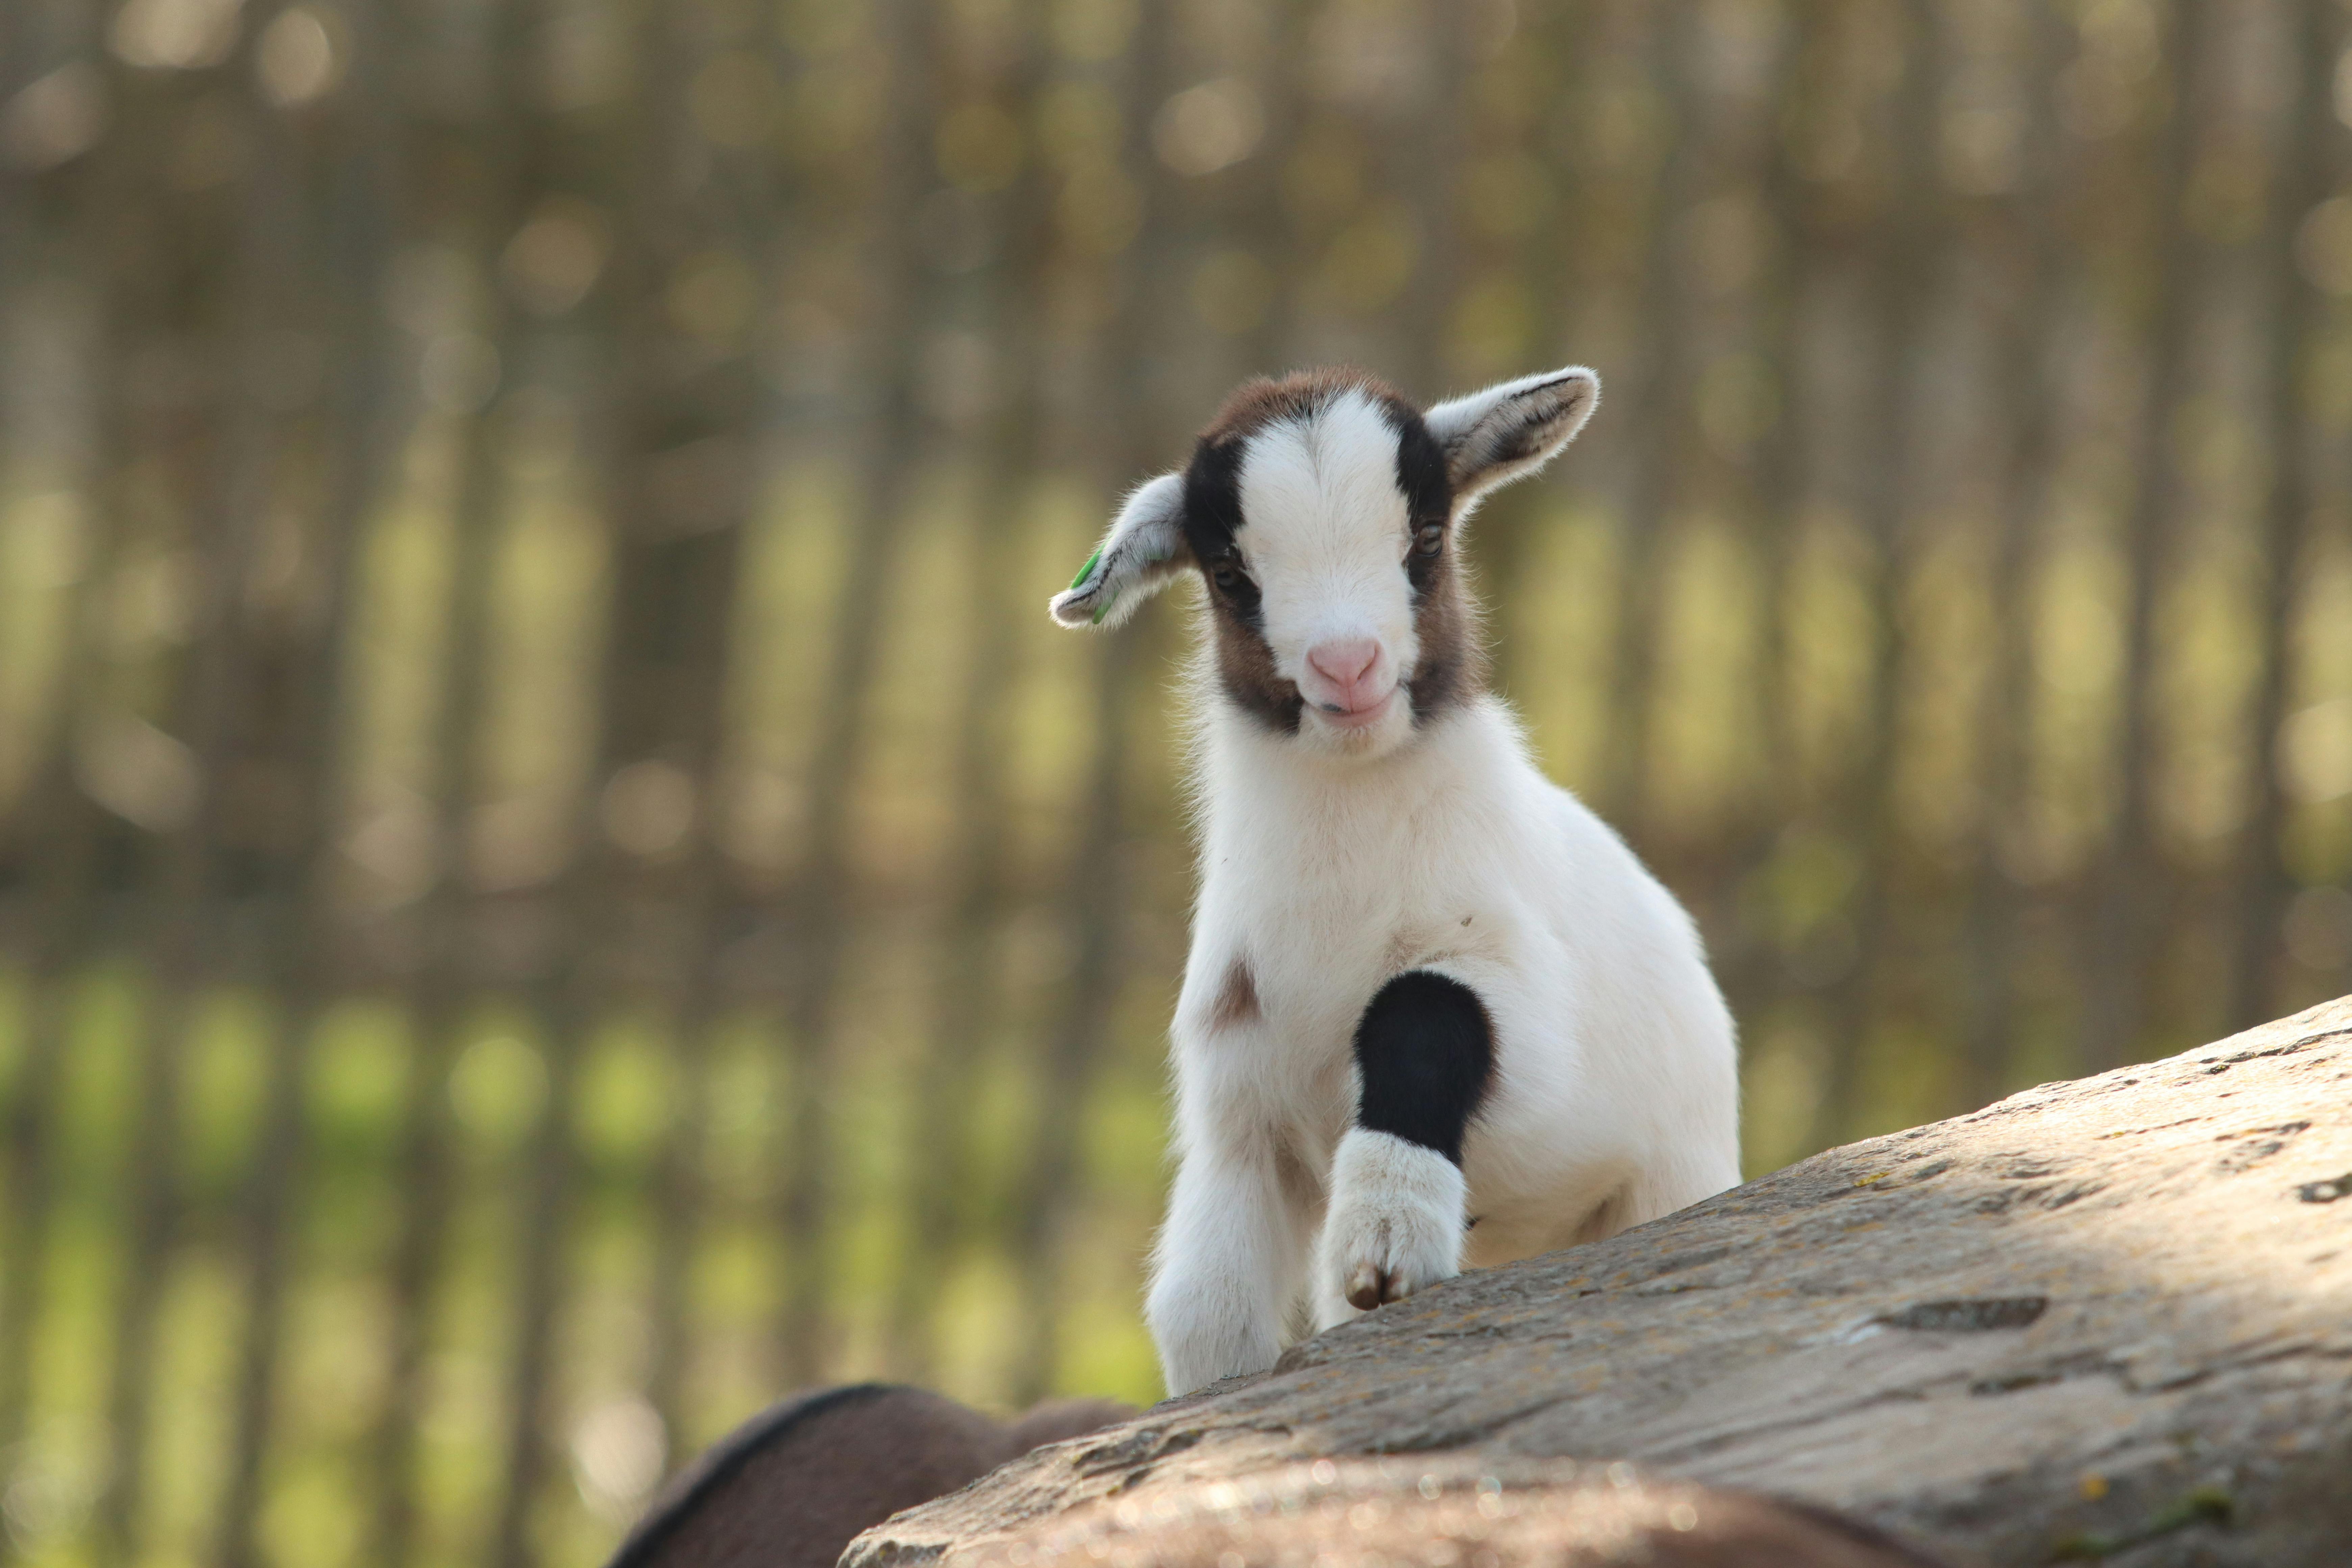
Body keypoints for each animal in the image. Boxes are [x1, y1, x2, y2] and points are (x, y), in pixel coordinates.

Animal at [1049, 366, 1740, 1396]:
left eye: (1425, 537)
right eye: (1230, 573)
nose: (1347, 665)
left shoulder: (1518, 997)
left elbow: (1422, 1014)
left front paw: (1385, 1234)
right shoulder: (1238, 1104)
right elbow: (1205, 1310)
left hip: (1670, 1175)